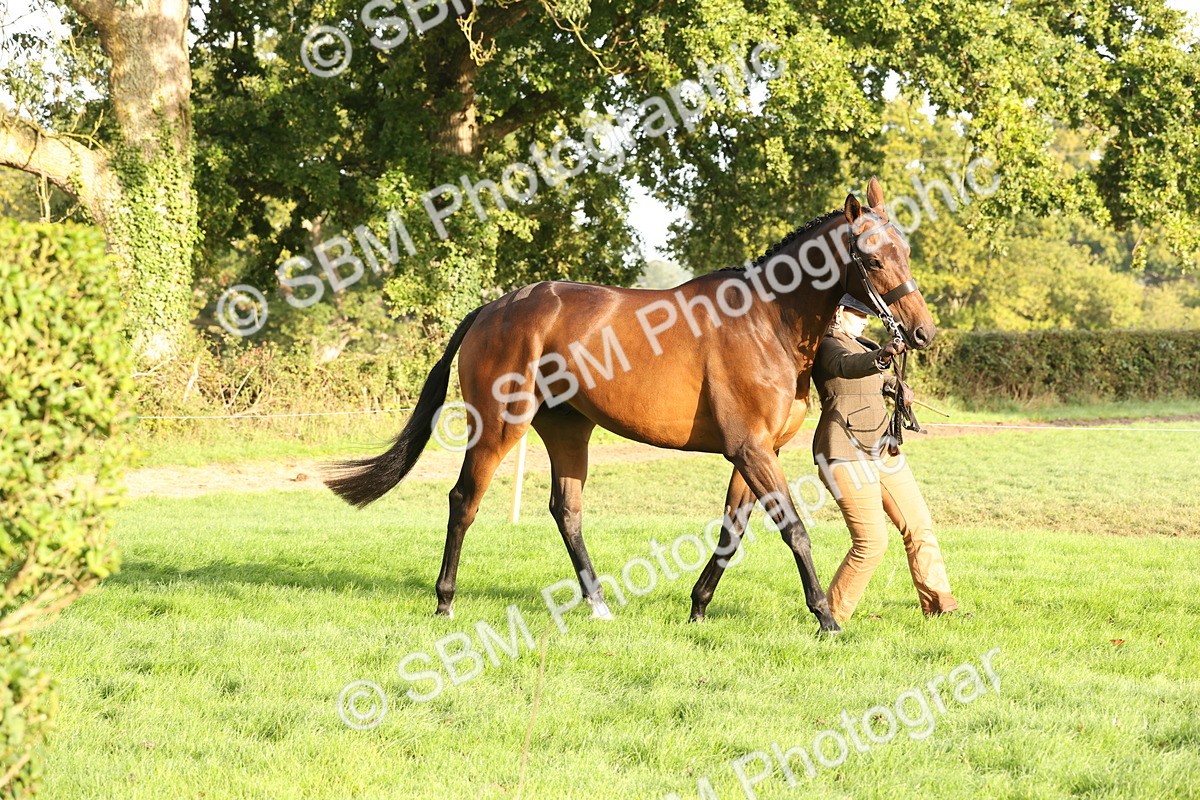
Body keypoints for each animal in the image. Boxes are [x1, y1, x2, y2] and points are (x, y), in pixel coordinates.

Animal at [325, 178, 935, 634]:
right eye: (872, 260)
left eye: (905, 252)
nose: (921, 334)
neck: (767, 321)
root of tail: (493, 308)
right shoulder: (751, 449)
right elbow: (794, 530)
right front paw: (826, 618)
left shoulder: (758, 452)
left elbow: (731, 532)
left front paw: (698, 607)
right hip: (499, 426)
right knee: (464, 501)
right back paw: (446, 600)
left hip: (568, 430)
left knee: (566, 510)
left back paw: (597, 604)